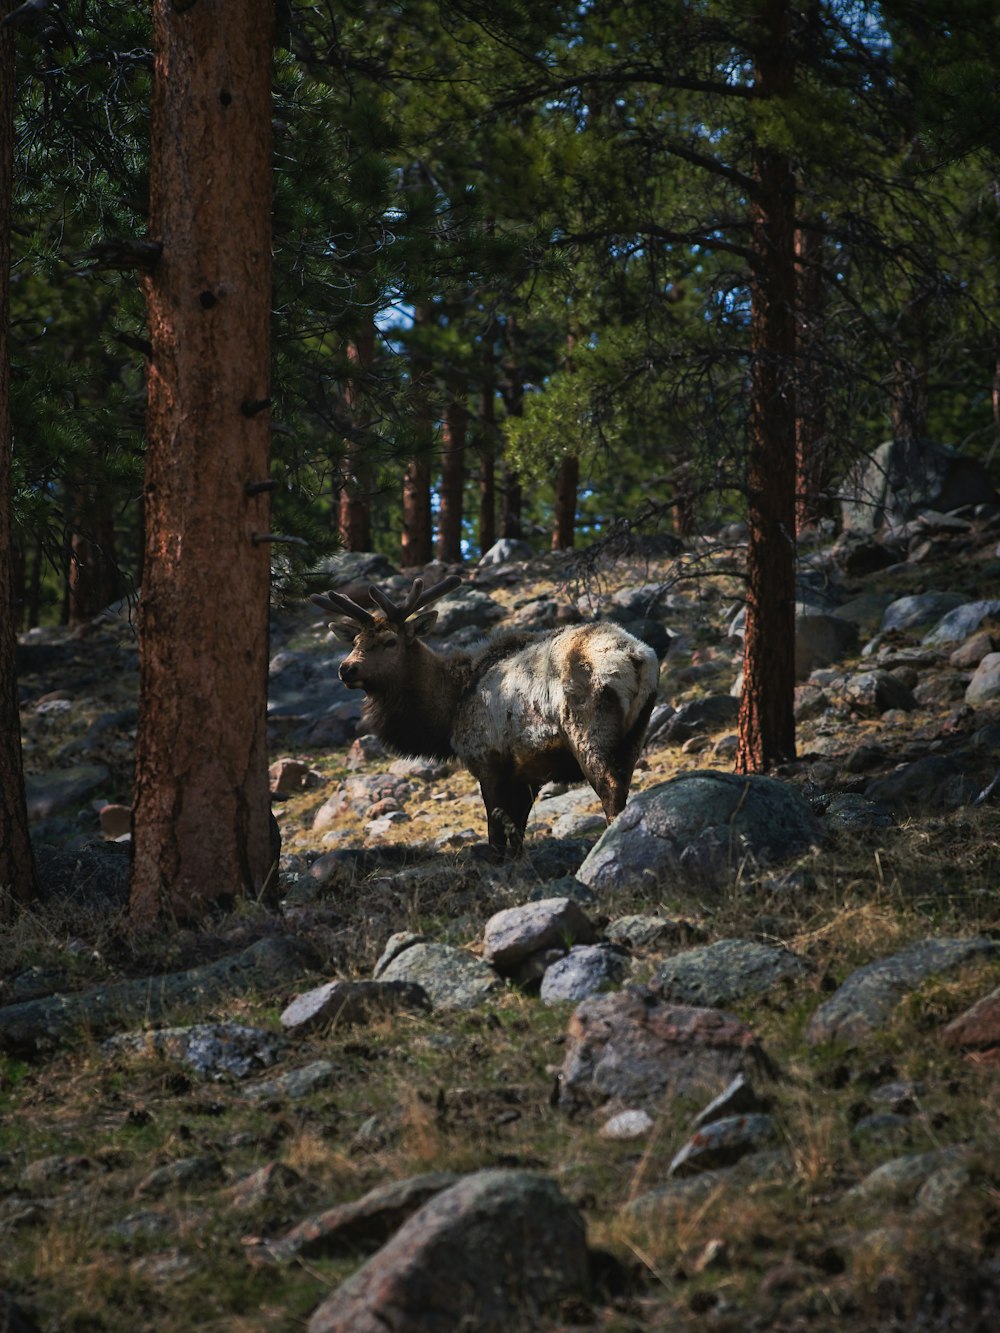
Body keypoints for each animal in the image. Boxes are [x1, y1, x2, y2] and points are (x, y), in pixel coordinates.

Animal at [309, 578, 661, 858]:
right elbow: (517, 834)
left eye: (390, 641)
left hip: (587, 728)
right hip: (636, 731)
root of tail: (636, 657)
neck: (448, 712)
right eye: (356, 641)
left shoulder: (487, 757)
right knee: (625, 786)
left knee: (609, 788)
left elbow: (496, 831)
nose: (347, 668)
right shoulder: (526, 772)